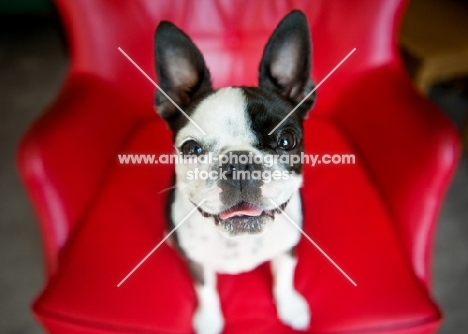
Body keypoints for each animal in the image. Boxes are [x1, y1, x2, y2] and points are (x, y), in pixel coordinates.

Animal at [155, 10, 316, 334]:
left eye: (287, 140)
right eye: (191, 148)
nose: (240, 163)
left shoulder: (289, 247)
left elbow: (284, 277)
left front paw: (290, 307)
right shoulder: (197, 263)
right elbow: (205, 289)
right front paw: (209, 320)